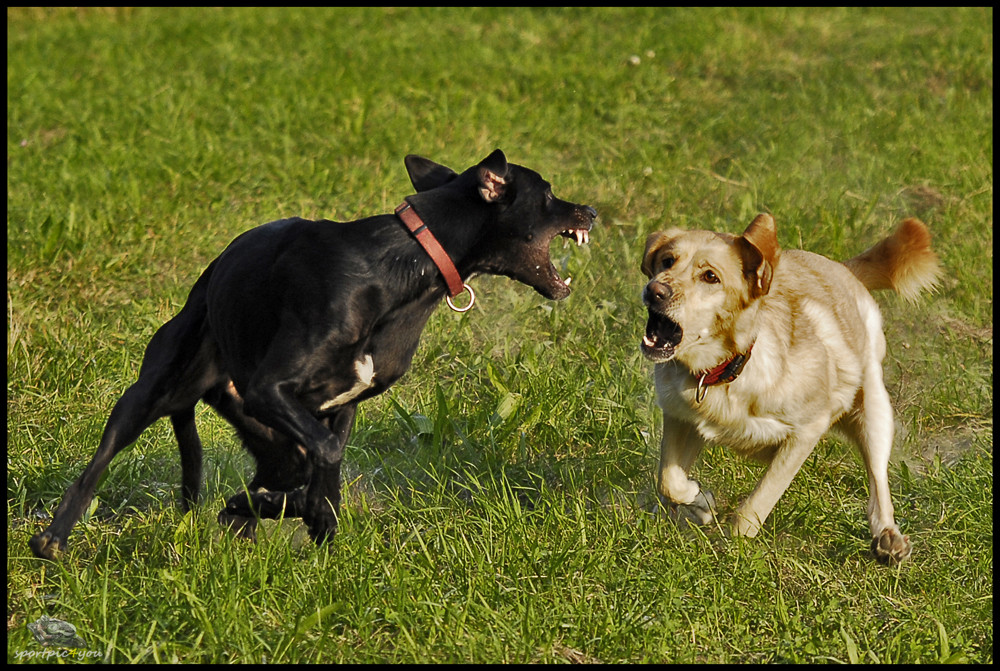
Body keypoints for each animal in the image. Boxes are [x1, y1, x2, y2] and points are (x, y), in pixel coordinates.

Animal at [29, 150, 592, 560]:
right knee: (97, 466)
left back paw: (249, 516)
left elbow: (329, 460)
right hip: (154, 391)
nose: (591, 211)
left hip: (266, 436)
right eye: (547, 193)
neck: (403, 263)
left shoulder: (339, 406)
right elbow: (325, 458)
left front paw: (311, 521)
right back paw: (53, 539)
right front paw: (311, 514)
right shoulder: (271, 389)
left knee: (265, 485)